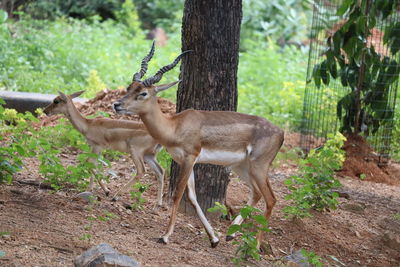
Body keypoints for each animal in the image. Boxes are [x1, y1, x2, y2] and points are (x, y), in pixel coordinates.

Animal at [111, 42, 282, 249]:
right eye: (130, 87)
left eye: (143, 93)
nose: (117, 105)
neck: (175, 126)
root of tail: (281, 132)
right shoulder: (188, 162)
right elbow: (193, 198)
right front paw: (214, 239)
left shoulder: (189, 158)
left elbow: (177, 195)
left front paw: (165, 236)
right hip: (241, 167)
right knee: (256, 194)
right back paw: (230, 235)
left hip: (259, 167)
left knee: (271, 199)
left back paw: (255, 246)